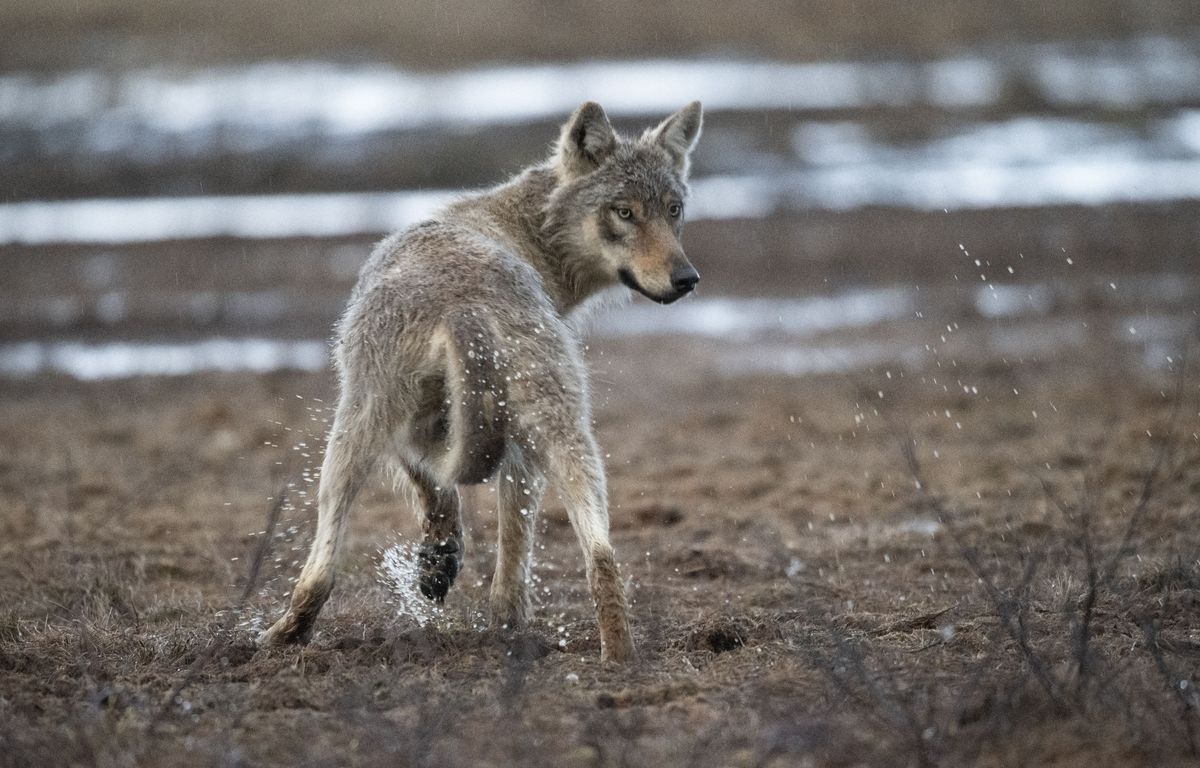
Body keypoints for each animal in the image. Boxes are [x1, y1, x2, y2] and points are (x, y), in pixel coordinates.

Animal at [259, 100, 703, 661]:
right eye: (625, 212)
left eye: (673, 210)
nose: (687, 279)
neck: (527, 235)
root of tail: (463, 304)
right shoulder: (437, 428)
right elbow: (452, 502)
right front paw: (440, 566)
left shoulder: (425, 428)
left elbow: (445, 497)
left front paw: (439, 566)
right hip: (543, 436)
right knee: (597, 555)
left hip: (361, 433)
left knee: (325, 569)